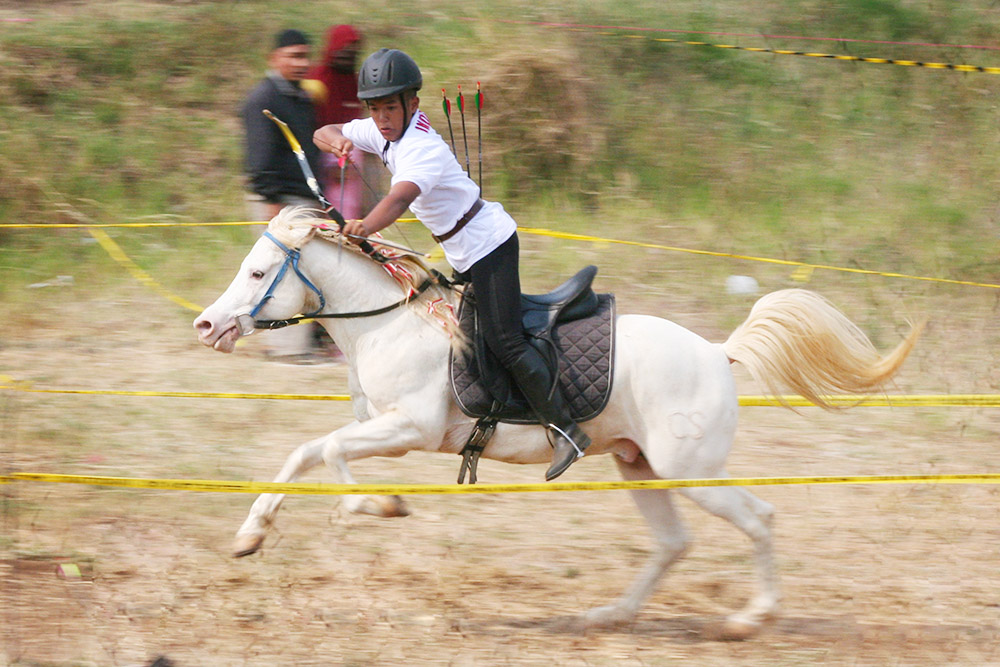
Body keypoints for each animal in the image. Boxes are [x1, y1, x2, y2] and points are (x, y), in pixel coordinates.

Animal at [191, 209, 916, 636]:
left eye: (257, 271)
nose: (206, 324)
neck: (388, 322)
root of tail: (718, 351)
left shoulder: (410, 431)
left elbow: (332, 457)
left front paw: (379, 506)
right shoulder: (386, 429)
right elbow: (306, 453)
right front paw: (250, 535)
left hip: (692, 471)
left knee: (759, 517)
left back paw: (750, 618)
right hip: (639, 466)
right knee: (672, 543)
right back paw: (609, 614)